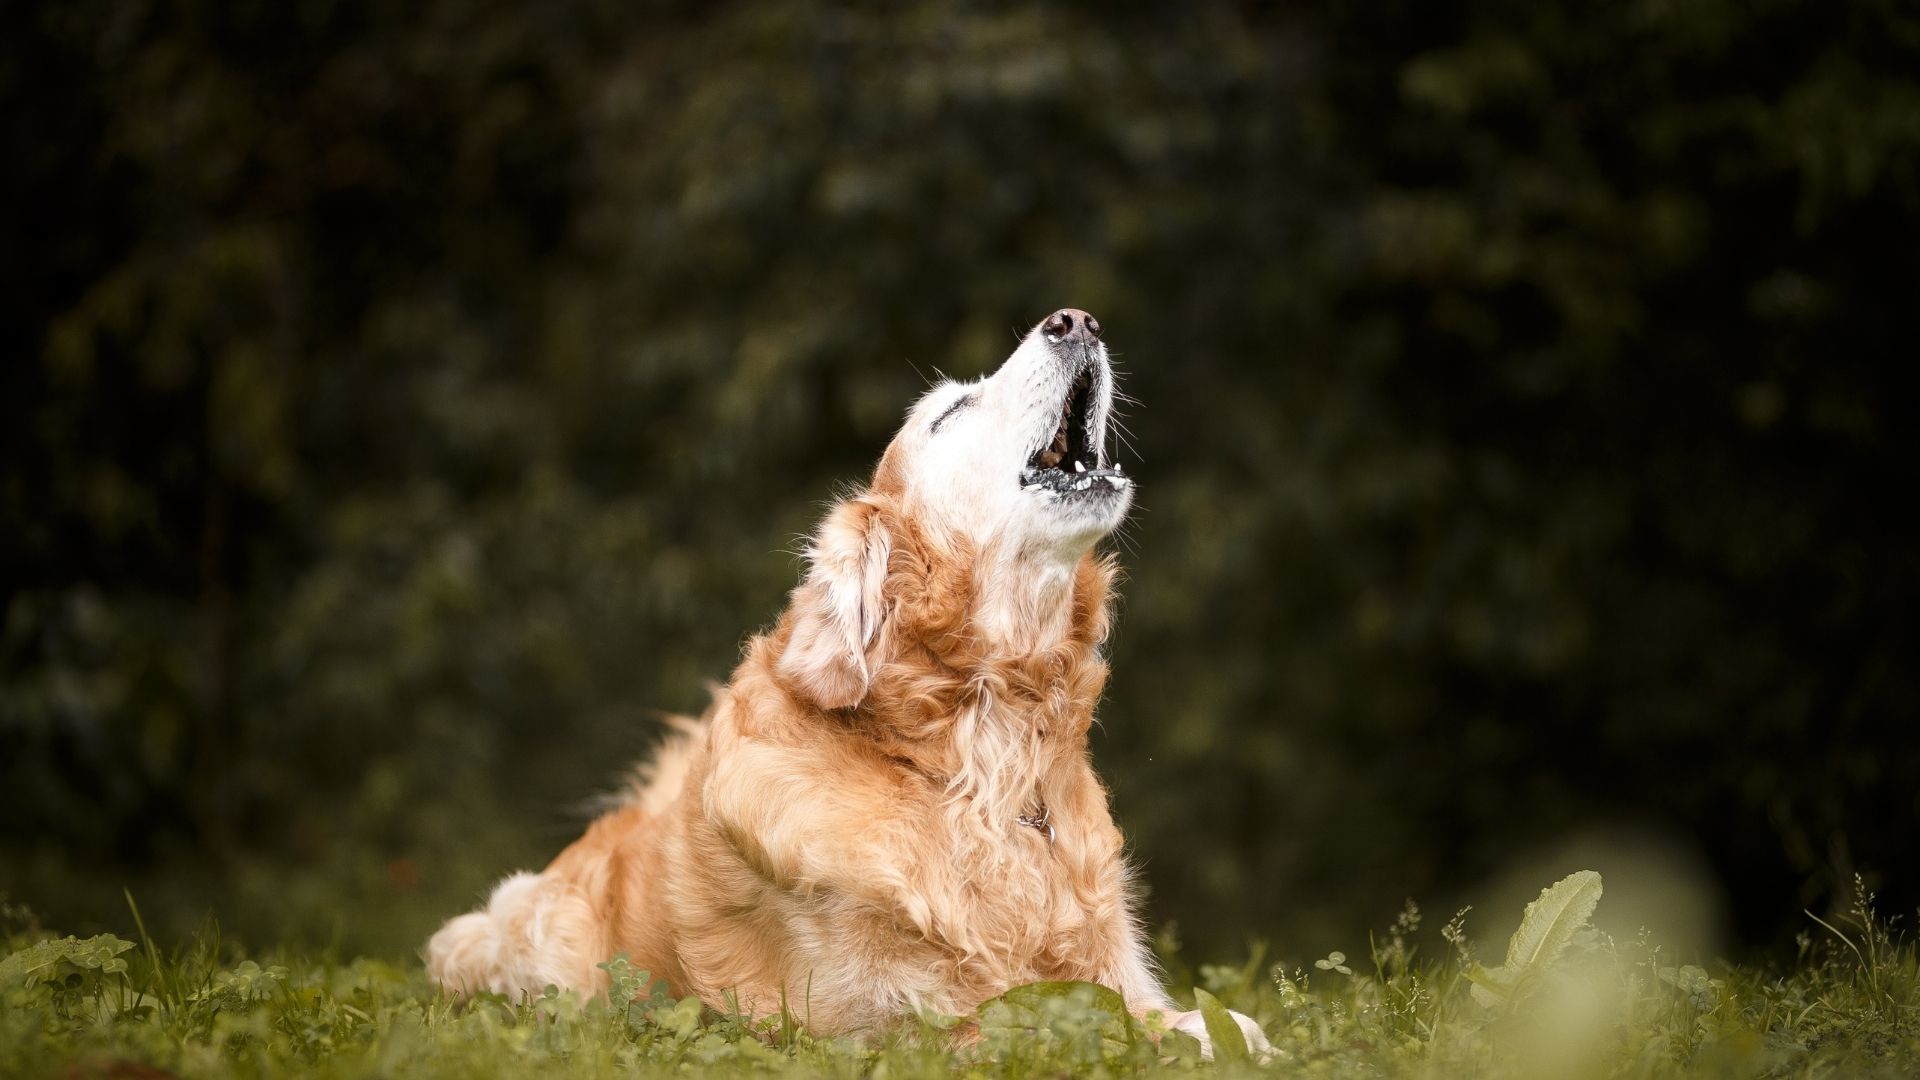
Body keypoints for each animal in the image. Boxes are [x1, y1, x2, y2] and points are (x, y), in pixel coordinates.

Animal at [432, 305, 1274, 1053]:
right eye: (950, 412)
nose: (1077, 321)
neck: (981, 756)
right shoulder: (889, 1024)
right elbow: (1060, 1026)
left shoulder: (1112, 970)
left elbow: (1175, 1012)